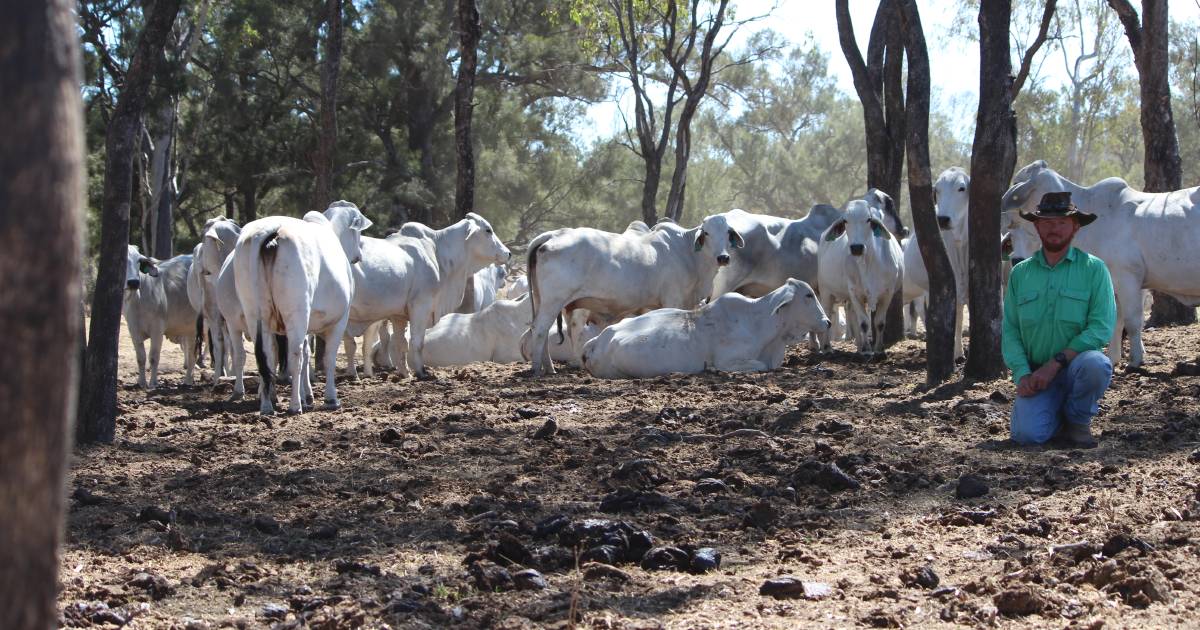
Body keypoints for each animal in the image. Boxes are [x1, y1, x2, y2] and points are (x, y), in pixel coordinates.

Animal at [124, 244, 201, 388]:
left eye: (138, 261)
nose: (133, 282)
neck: (137, 300)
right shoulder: (133, 329)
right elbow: (140, 357)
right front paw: (141, 382)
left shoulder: (157, 328)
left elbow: (154, 357)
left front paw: (153, 383)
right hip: (191, 329)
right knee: (192, 354)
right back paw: (188, 380)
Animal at [230, 200, 369, 412]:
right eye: (358, 232)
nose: (358, 256)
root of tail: (271, 230)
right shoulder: (339, 320)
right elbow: (327, 357)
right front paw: (330, 398)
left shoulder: (306, 326)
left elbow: (306, 354)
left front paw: (308, 395)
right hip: (297, 313)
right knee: (294, 355)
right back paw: (295, 405)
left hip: (255, 314)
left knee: (266, 355)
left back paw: (267, 405)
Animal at [523, 213, 739, 376]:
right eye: (707, 233)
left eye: (728, 233)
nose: (723, 257)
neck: (687, 253)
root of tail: (553, 235)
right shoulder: (673, 299)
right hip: (554, 300)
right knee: (540, 328)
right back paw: (537, 369)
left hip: (542, 299)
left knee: (540, 329)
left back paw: (549, 368)